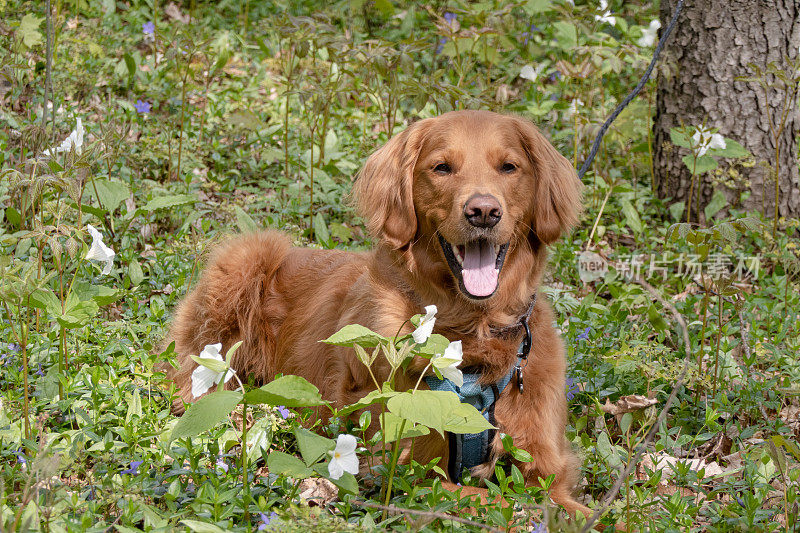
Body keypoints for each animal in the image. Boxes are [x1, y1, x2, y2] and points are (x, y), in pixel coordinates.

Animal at [164, 111, 588, 516]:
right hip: (247, 259)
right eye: (442, 168)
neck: (472, 330)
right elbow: (508, 505)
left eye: (509, 167)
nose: (483, 212)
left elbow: (568, 507)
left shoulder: (545, 468)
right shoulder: (407, 472)